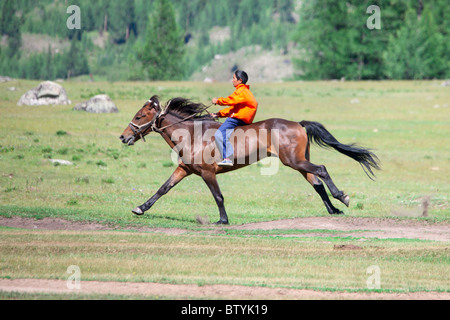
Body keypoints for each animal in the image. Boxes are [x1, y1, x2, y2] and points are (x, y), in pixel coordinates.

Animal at [120, 96, 380, 224]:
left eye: (139, 116)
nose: (123, 137)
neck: (193, 134)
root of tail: (298, 123)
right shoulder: (184, 169)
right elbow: (163, 189)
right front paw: (140, 208)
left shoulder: (207, 173)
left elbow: (218, 196)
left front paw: (223, 220)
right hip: (297, 162)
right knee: (316, 182)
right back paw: (333, 209)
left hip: (294, 161)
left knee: (322, 170)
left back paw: (341, 198)